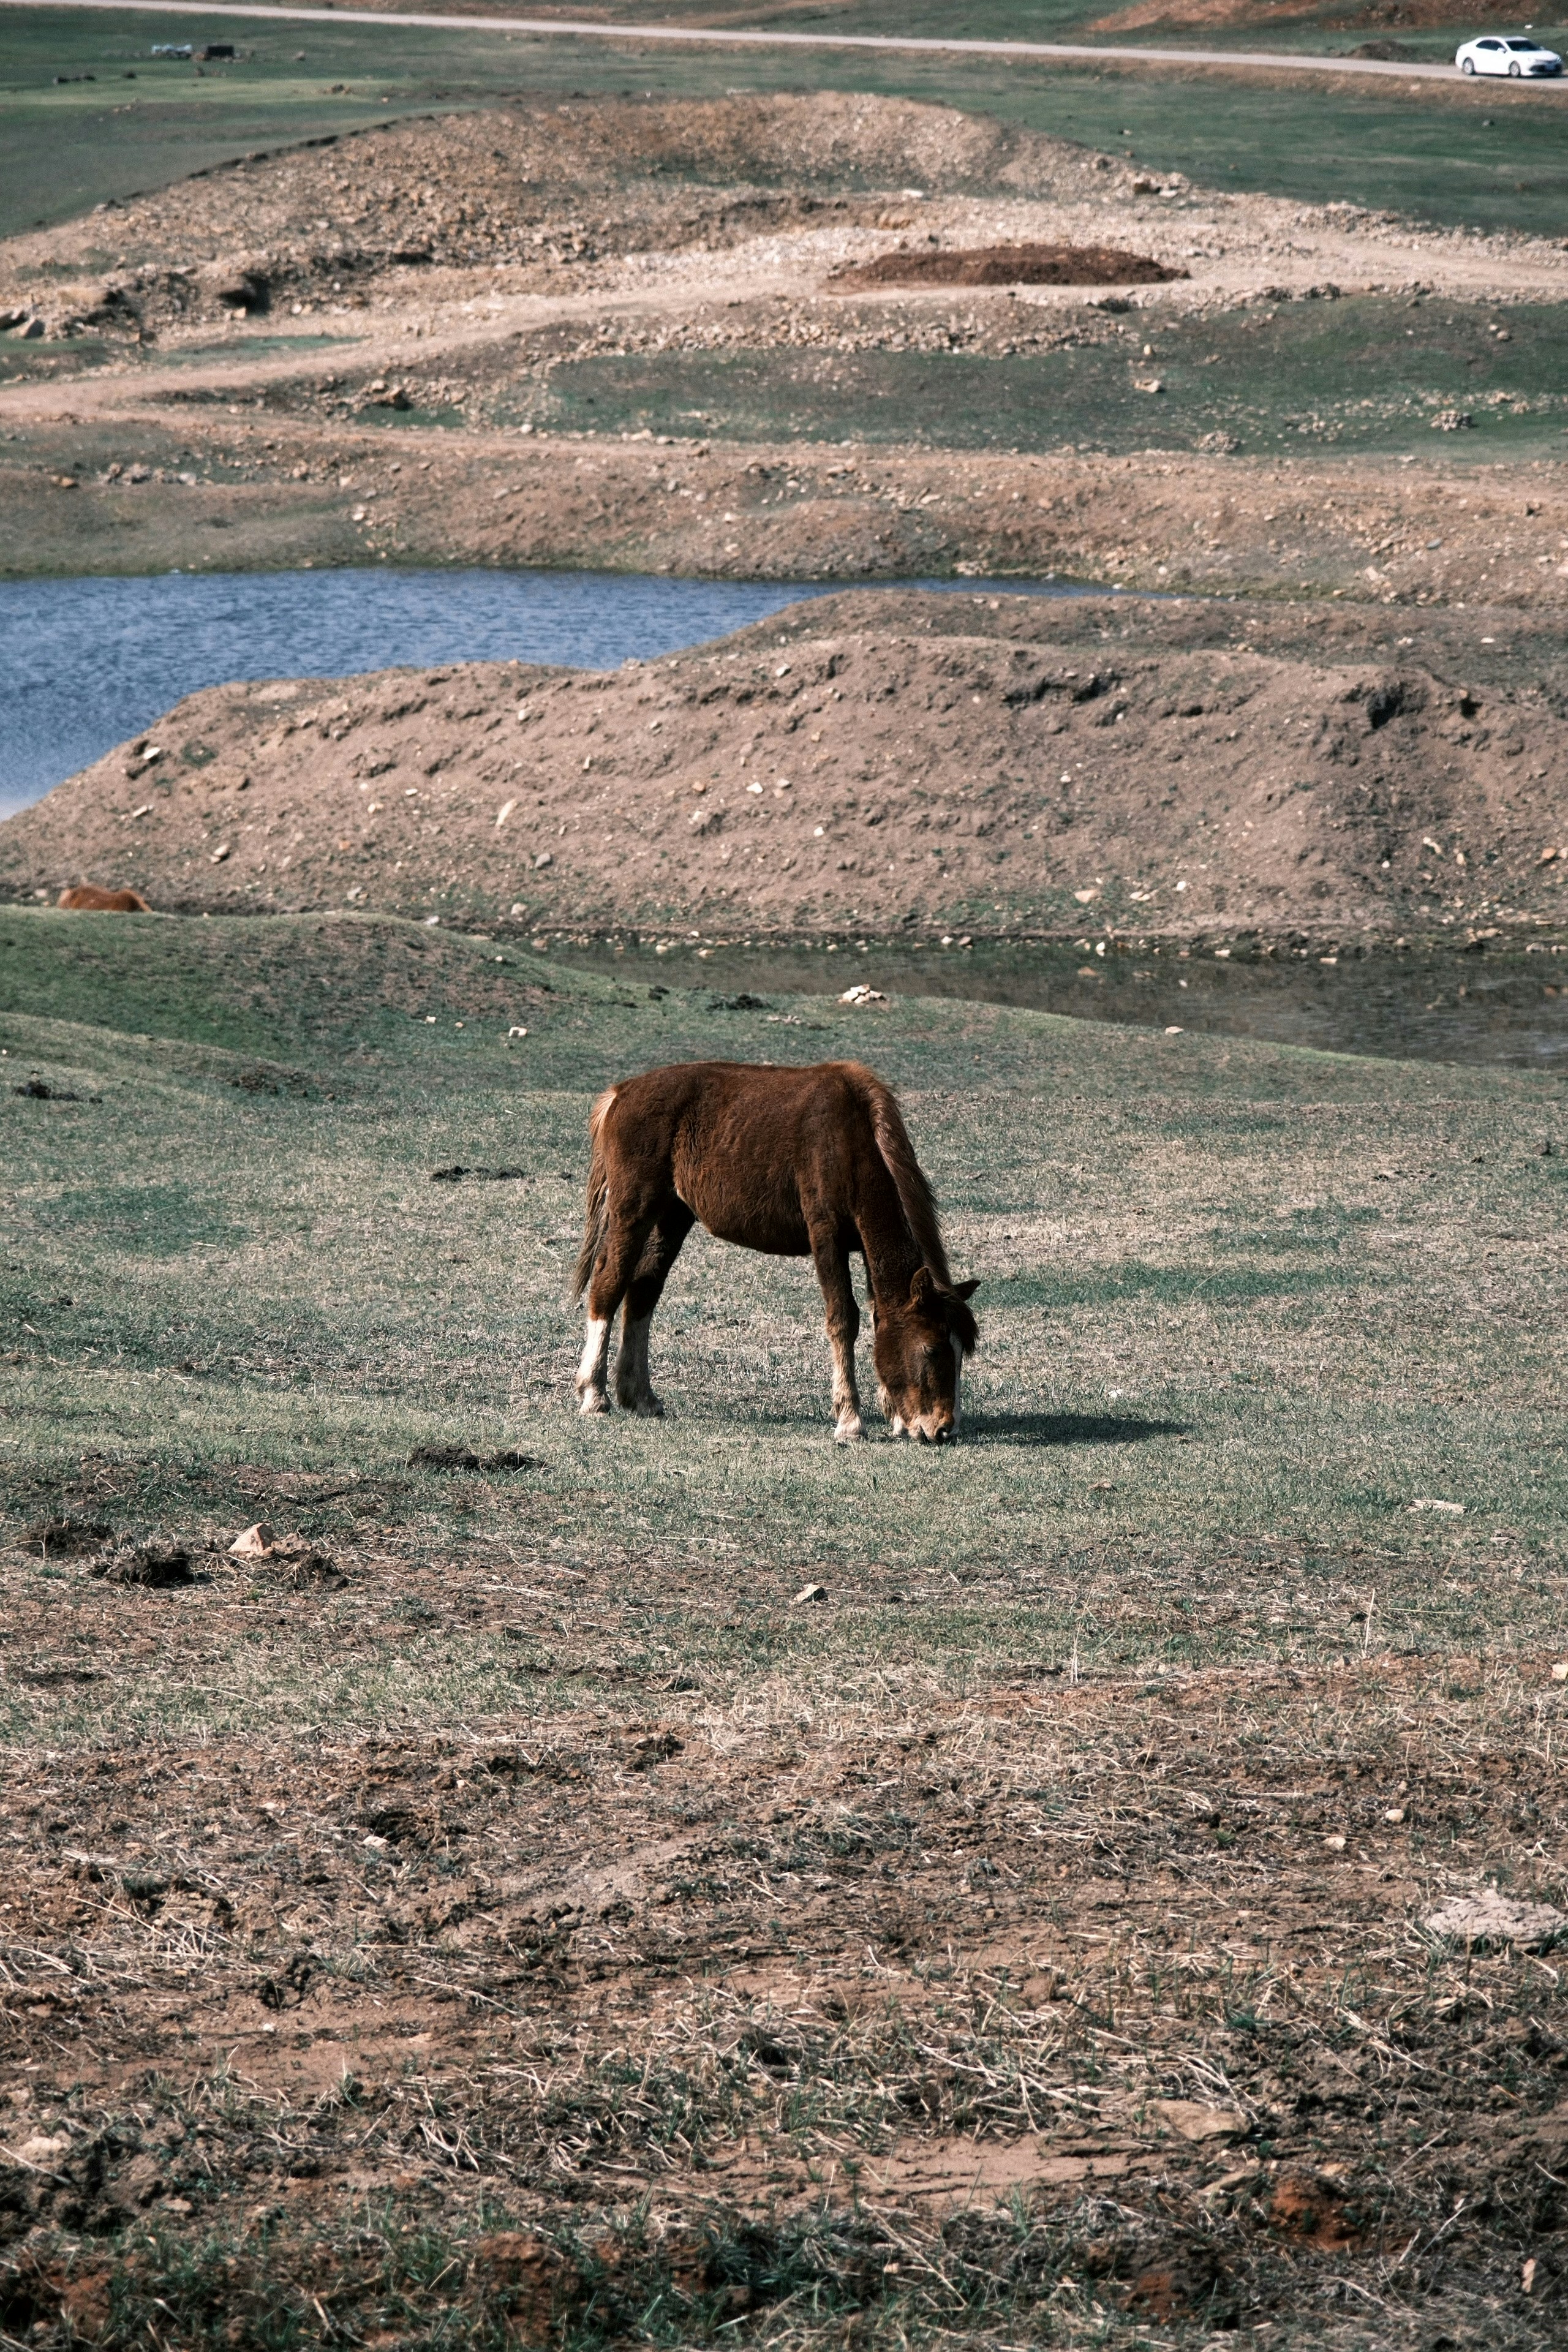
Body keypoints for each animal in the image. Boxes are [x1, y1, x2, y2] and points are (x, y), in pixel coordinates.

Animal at [572, 1059, 978, 1443]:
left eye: (961, 1353)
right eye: (931, 1349)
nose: (945, 1429)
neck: (850, 1136)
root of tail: (621, 1093)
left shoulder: (862, 1244)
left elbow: (881, 1315)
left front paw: (895, 1418)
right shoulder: (826, 1234)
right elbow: (843, 1319)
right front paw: (850, 1420)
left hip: (672, 1216)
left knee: (643, 1290)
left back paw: (640, 1397)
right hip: (634, 1210)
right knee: (609, 1283)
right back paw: (594, 1394)